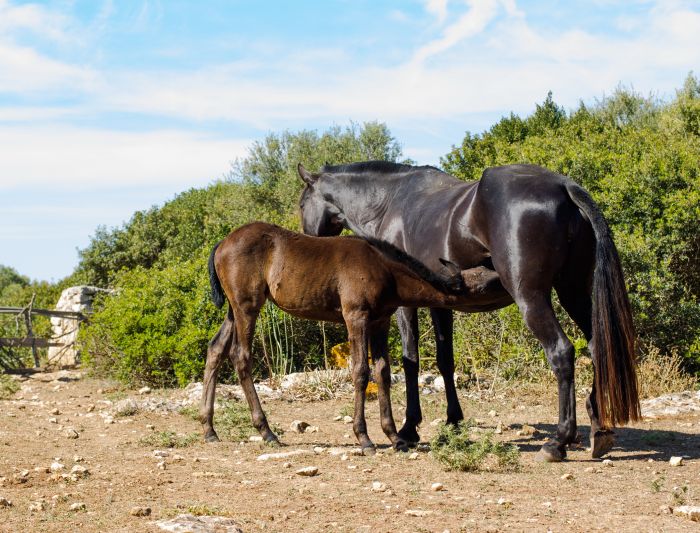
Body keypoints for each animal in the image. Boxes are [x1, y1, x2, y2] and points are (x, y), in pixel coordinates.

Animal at [296, 161, 640, 462]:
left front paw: (409, 428)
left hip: (532, 298)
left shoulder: (405, 306)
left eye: (301, 204)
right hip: (573, 292)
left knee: (561, 352)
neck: (388, 203)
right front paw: (453, 421)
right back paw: (599, 430)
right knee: (597, 347)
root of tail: (562, 186)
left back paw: (558, 442)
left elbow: (411, 360)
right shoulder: (440, 304)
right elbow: (445, 361)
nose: (307, 243)